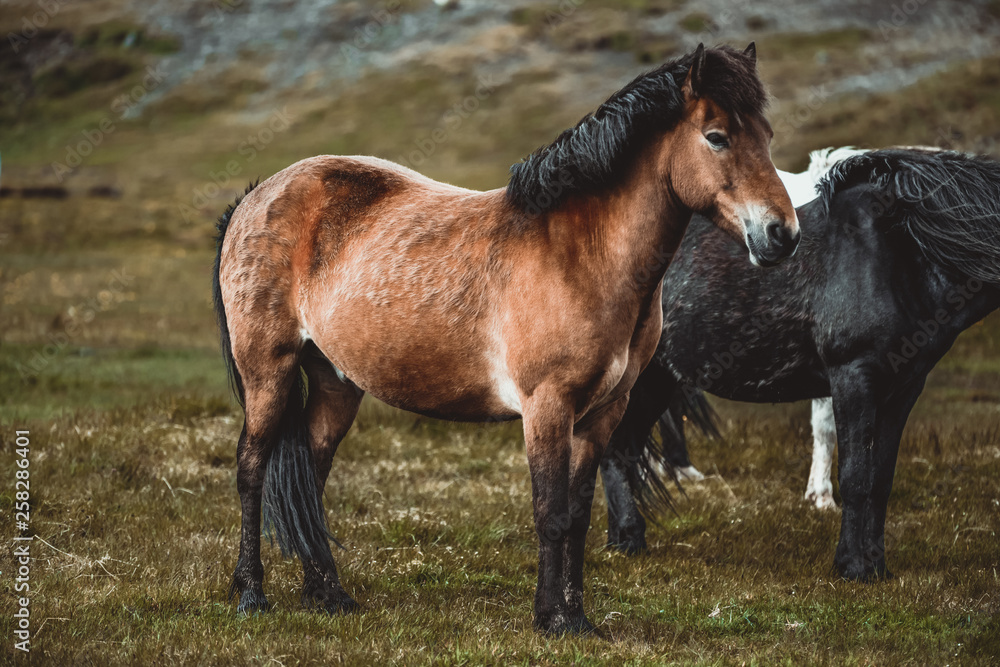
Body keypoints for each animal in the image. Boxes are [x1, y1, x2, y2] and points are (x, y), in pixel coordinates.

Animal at [215, 44, 800, 636]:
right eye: (717, 136)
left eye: (767, 135)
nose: (783, 234)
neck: (582, 256)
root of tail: (256, 197)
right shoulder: (547, 407)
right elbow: (551, 513)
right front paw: (550, 618)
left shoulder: (603, 414)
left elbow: (579, 515)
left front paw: (577, 618)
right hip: (269, 372)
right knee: (251, 468)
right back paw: (251, 594)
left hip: (336, 382)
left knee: (310, 474)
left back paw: (327, 594)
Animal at [596, 149, 1000, 580]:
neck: (896, 254)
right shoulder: (853, 378)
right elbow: (855, 476)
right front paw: (851, 566)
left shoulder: (903, 389)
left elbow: (880, 480)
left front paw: (877, 568)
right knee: (614, 450)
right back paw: (626, 539)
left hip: (657, 381)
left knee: (622, 449)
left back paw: (623, 540)